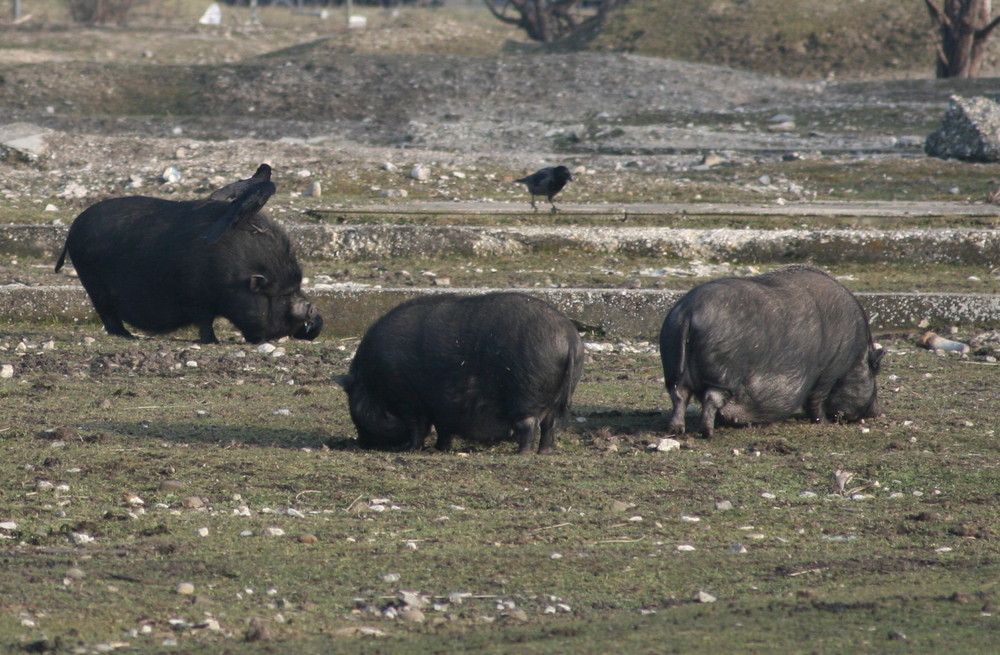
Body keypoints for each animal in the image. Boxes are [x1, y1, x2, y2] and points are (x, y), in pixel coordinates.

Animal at [54, 167, 322, 346]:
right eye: (279, 295)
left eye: (295, 286)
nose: (311, 309)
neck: (237, 276)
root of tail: (73, 229)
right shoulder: (199, 301)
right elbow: (205, 322)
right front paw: (213, 341)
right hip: (94, 285)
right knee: (108, 314)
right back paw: (127, 335)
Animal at [336, 294, 584, 456]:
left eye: (354, 406)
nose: (361, 443)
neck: (373, 383)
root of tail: (569, 339)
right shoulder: (442, 409)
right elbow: (442, 430)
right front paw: (438, 449)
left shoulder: (408, 398)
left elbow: (419, 426)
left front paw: (410, 449)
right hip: (556, 399)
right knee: (549, 426)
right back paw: (545, 453)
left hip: (526, 394)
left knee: (529, 426)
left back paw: (520, 454)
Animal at [664, 264, 884, 438]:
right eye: (874, 370)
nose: (877, 412)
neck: (856, 355)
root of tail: (690, 311)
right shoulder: (828, 372)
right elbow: (816, 400)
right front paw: (824, 423)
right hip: (722, 374)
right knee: (710, 398)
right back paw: (707, 433)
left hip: (673, 367)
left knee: (679, 395)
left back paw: (676, 430)